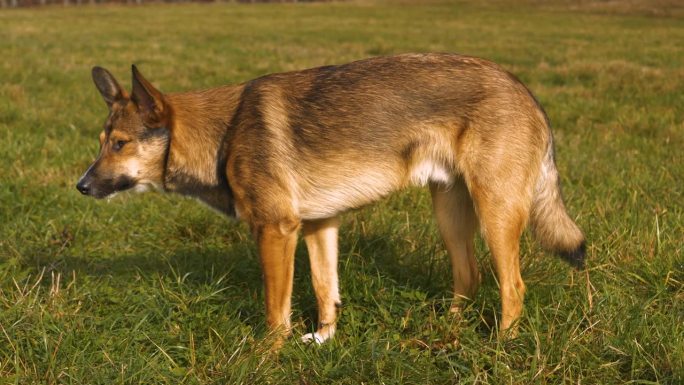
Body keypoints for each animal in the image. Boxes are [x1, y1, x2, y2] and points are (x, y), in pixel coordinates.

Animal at [77, 54, 584, 344]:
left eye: (119, 144)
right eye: (102, 142)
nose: (80, 186)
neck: (223, 135)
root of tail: (524, 90)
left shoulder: (276, 232)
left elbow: (275, 311)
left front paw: (269, 356)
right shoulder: (319, 226)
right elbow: (325, 291)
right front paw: (324, 341)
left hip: (495, 212)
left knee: (512, 287)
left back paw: (500, 347)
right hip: (450, 213)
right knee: (470, 276)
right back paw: (447, 330)